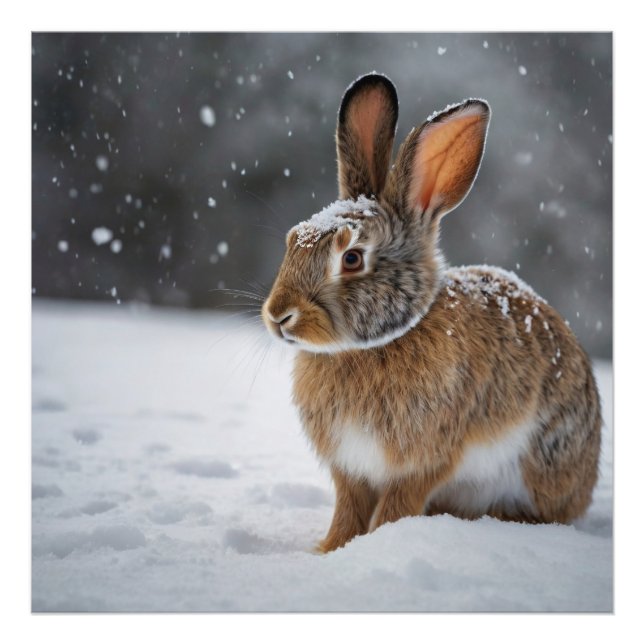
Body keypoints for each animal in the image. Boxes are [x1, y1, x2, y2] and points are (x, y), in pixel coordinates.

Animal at [261, 72, 601, 553]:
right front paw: (328, 550)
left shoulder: (424, 461)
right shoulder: (351, 469)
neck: (378, 342)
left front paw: (375, 545)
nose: (278, 316)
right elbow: (347, 510)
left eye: (352, 258)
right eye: (294, 239)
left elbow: (396, 506)